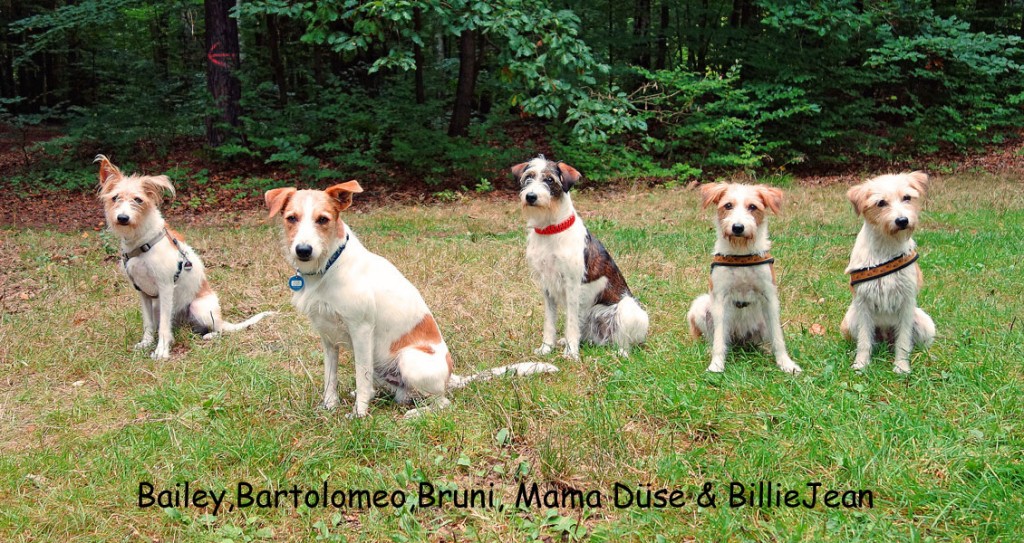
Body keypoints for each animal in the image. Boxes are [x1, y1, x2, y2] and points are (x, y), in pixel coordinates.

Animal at [97, 155, 273, 359]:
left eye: (138, 200)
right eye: (115, 198)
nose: (123, 218)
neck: (142, 241)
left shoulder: (165, 287)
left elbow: (164, 326)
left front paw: (161, 351)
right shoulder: (143, 292)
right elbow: (148, 323)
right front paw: (146, 343)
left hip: (199, 307)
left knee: (218, 329)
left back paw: (209, 335)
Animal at [265, 182, 557, 418]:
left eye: (323, 219)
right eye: (291, 218)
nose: (303, 250)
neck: (328, 268)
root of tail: (450, 377)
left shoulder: (361, 330)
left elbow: (361, 376)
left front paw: (359, 414)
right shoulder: (327, 336)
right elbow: (330, 377)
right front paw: (329, 406)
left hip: (409, 359)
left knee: (442, 403)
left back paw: (415, 414)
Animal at [513, 155, 649, 359]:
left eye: (549, 180)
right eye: (529, 177)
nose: (531, 196)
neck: (550, 229)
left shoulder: (572, 286)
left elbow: (570, 324)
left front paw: (571, 354)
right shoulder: (547, 287)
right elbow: (549, 322)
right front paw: (546, 348)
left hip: (628, 308)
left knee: (624, 341)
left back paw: (620, 353)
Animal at [686, 183, 801, 374]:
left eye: (753, 206)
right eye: (728, 205)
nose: (738, 227)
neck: (741, 254)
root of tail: (740, 339)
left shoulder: (770, 298)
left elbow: (778, 338)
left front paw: (786, 363)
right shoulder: (720, 298)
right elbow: (719, 340)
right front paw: (716, 365)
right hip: (701, 306)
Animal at [841, 172, 936, 373]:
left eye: (907, 197)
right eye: (881, 202)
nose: (902, 221)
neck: (886, 247)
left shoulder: (907, 303)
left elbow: (904, 341)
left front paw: (901, 366)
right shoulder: (863, 303)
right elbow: (864, 341)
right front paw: (861, 365)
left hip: (925, 322)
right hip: (851, 319)